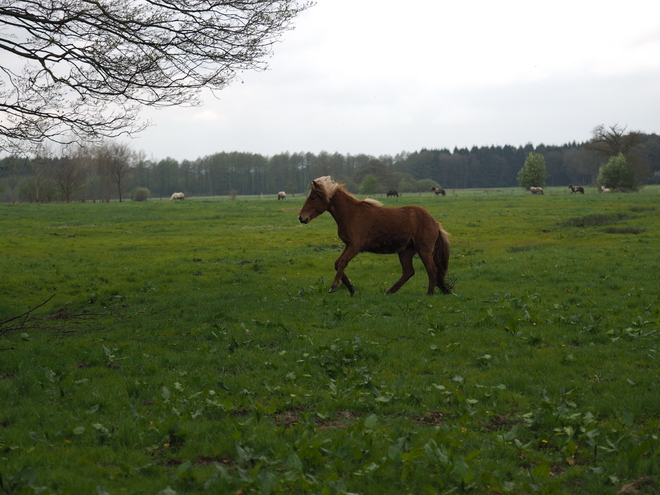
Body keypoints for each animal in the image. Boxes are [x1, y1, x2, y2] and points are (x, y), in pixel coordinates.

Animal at [300, 177, 454, 296]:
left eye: (313, 198)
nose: (301, 218)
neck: (351, 214)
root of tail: (435, 223)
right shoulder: (348, 245)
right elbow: (337, 264)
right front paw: (351, 288)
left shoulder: (355, 246)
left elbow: (342, 263)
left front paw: (334, 286)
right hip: (405, 251)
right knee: (408, 271)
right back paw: (390, 291)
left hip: (424, 250)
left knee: (432, 270)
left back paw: (429, 293)